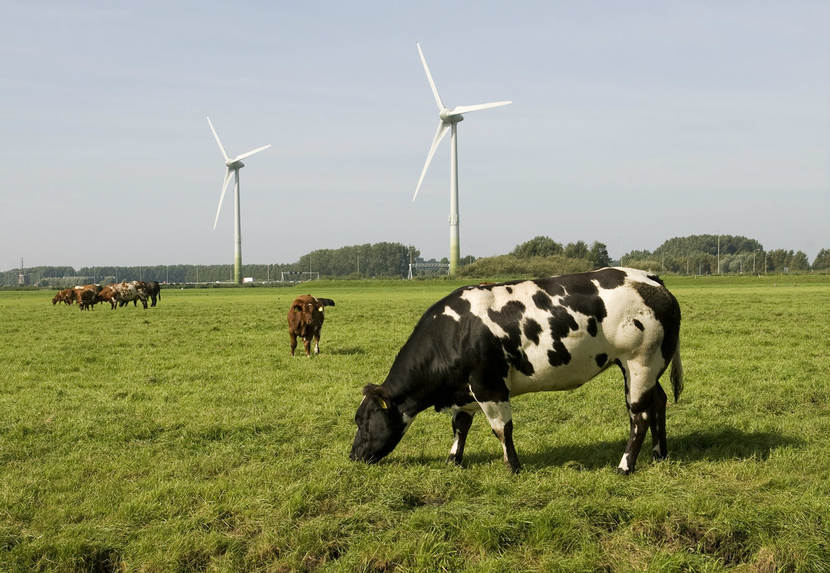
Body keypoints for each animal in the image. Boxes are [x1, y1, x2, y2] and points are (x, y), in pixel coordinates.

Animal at [352, 268, 684, 474]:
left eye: (364, 421)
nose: (353, 455)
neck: (453, 333)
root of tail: (649, 278)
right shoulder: (466, 390)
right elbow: (460, 425)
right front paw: (453, 460)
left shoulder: (489, 386)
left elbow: (502, 429)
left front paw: (513, 466)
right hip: (648, 366)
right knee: (659, 402)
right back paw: (659, 453)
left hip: (640, 363)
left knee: (639, 415)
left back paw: (625, 466)